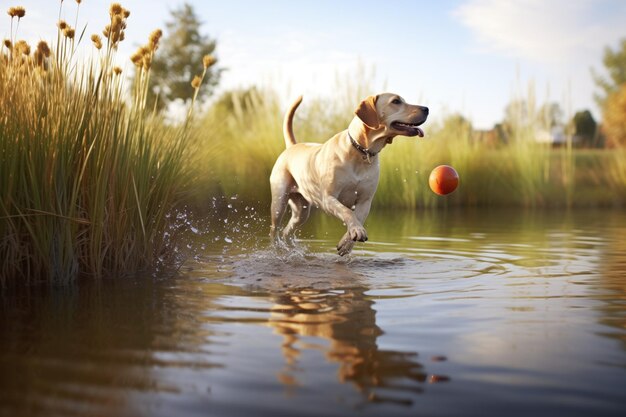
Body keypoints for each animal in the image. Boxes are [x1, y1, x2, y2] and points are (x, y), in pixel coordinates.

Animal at [266, 93, 426, 255]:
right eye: (396, 101)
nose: (426, 108)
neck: (361, 151)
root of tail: (292, 146)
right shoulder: (328, 198)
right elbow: (347, 212)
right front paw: (356, 231)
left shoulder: (365, 201)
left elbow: (358, 218)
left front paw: (346, 242)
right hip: (279, 203)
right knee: (274, 230)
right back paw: (275, 249)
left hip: (301, 212)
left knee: (287, 232)